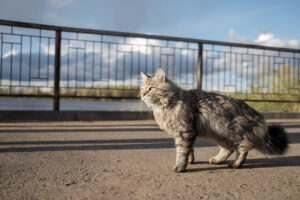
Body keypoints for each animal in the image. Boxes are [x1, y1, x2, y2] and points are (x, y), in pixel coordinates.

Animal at [141, 68, 288, 173]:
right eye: (142, 88)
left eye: (151, 88)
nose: (142, 95)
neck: (167, 105)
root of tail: (257, 115)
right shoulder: (188, 132)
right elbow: (190, 150)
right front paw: (190, 160)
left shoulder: (185, 131)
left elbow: (181, 151)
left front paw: (180, 166)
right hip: (218, 133)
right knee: (228, 149)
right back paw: (217, 160)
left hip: (233, 132)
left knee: (243, 149)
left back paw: (235, 164)